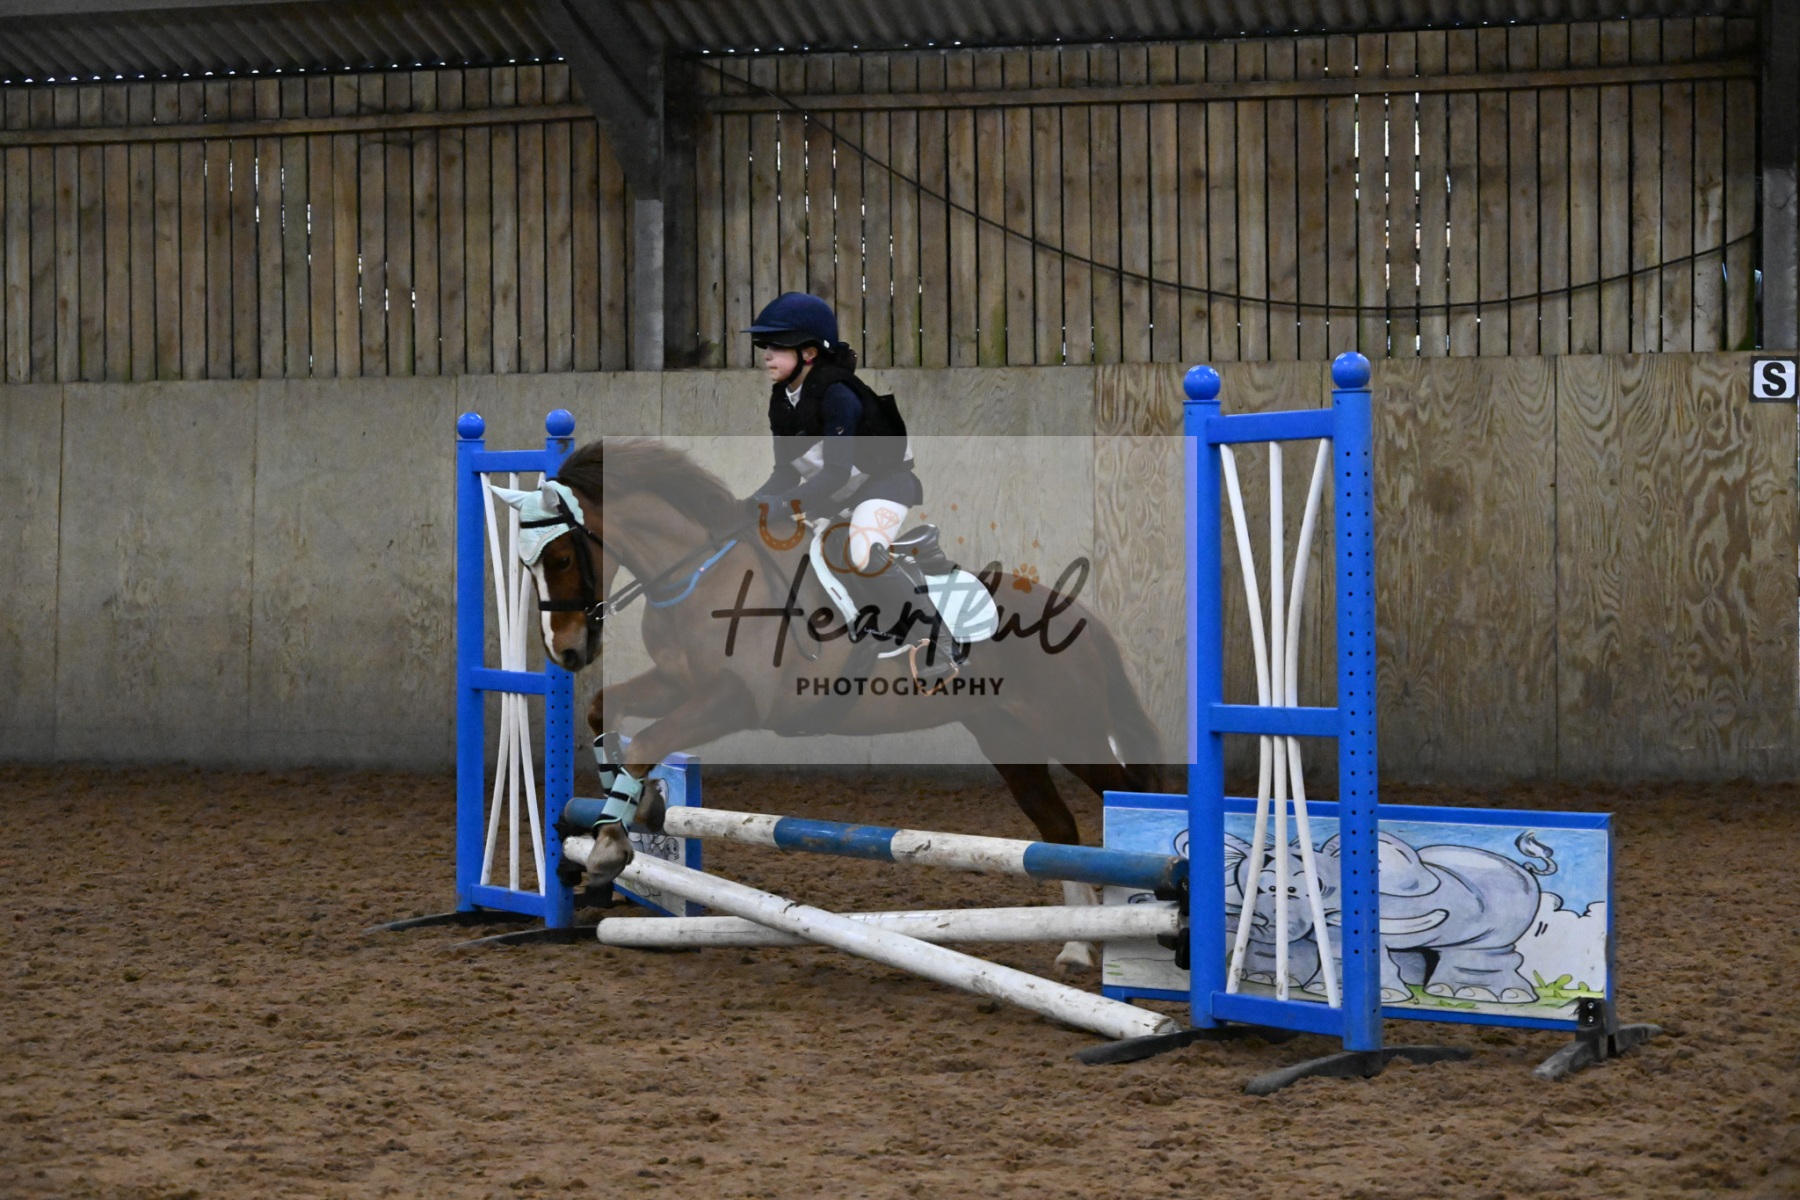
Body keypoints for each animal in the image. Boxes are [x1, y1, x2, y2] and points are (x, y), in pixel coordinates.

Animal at [511, 437, 1172, 974]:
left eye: (562, 558)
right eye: (526, 564)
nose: (566, 650)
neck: (698, 575)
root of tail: (1076, 613)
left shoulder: (736, 700)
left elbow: (649, 740)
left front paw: (609, 846)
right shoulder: (677, 683)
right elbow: (604, 712)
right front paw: (636, 805)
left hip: (1069, 728)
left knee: (1130, 790)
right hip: (1009, 741)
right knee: (1057, 827)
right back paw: (1078, 946)